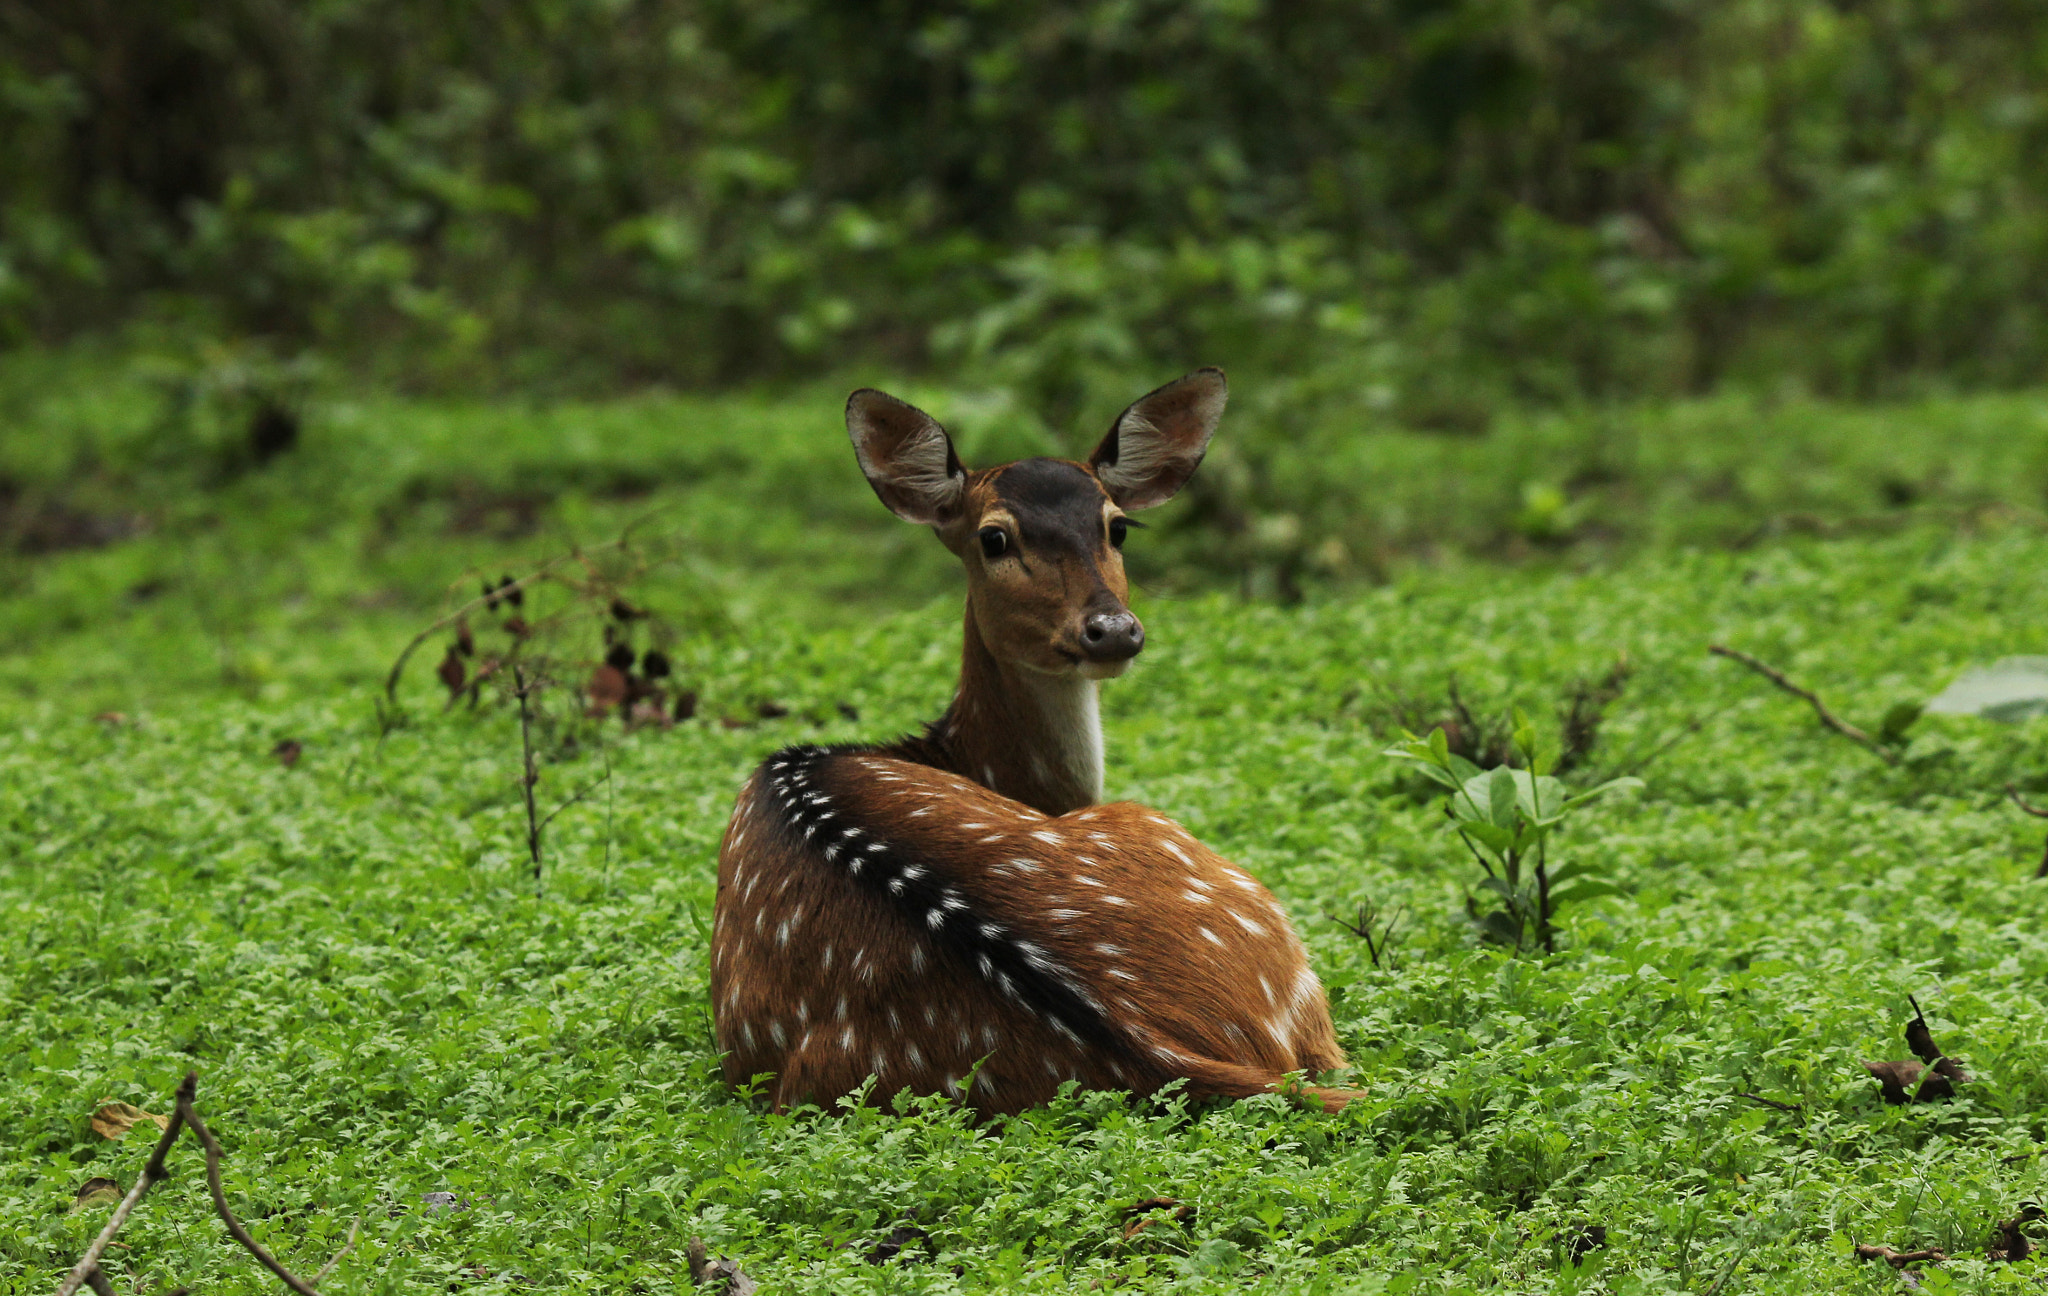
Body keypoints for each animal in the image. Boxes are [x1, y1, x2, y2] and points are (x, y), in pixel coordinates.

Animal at [709, 368, 1359, 1115]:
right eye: (994, 538)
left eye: (1118, 525)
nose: (1113, 629)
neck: (966, 758)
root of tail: (1156, 1047)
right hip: (1211, 881)